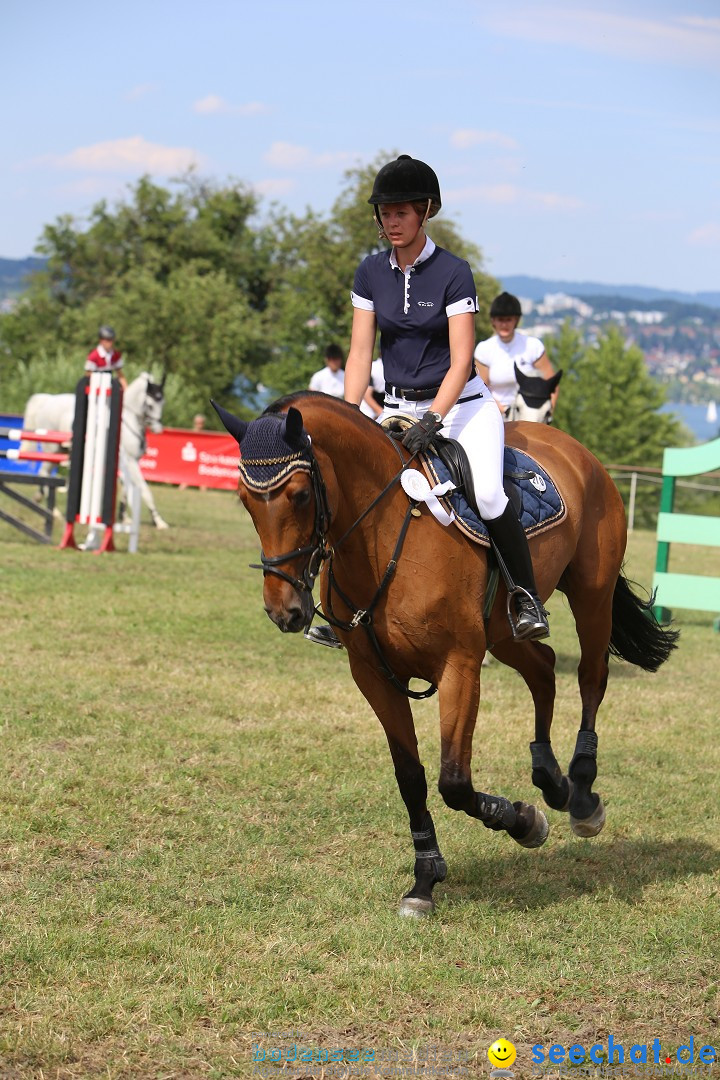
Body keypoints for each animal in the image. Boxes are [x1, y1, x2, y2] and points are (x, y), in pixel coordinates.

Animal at [21, 371, 170, 531]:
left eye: (162, 403)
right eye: (150, 405)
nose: (158, 429)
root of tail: (48, 400)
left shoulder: (129, 463)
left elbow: (126, 490)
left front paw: (124, 518)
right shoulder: (130, 462)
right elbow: (145, 490)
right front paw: (159, 521)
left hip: (63, 451)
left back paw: (40, 498)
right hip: (53, 450)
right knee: (44, 472)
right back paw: (54, 512)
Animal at [211, 393, 677, 915]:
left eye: (300, 496)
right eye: (245, 500)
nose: (284, 610)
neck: (383, 538)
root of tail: (575, 449)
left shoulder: (460, 666)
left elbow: (454, 781)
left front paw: (522, 821)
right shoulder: (373, 675)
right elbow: (411, 777)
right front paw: (425, 878)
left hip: (590, 598)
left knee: (591, 678)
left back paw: (580, 796)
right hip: (503, 633)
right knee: (544, 670)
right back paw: (550, 780)